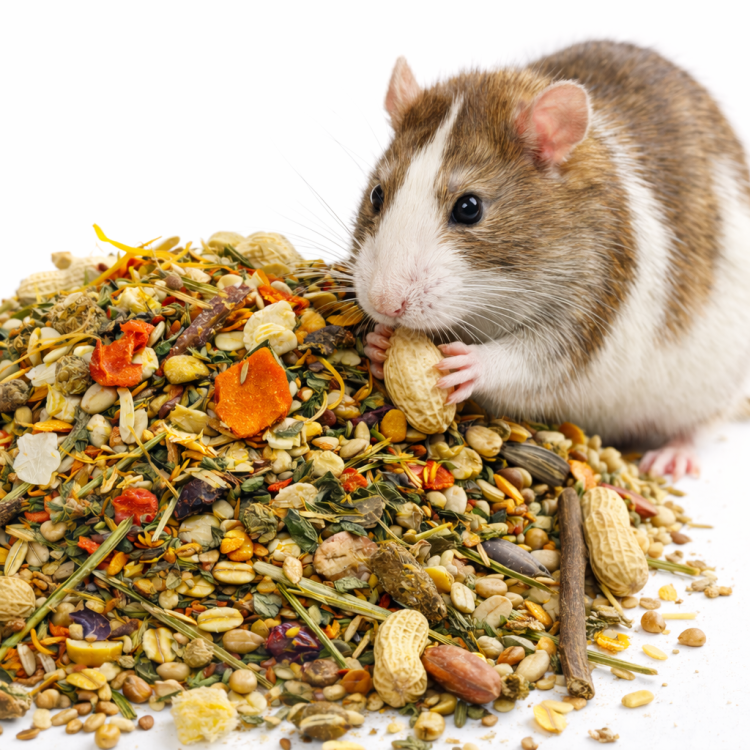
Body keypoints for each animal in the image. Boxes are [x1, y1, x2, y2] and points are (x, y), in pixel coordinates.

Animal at [350, 41, 750, 480]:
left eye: (469, 208)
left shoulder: (593, 296)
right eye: (377, 195)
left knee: (700, 423)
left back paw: (674, 453)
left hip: (715, 381)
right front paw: (378, 344)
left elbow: (539, 359)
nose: (385, 304)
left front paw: (473, 364)